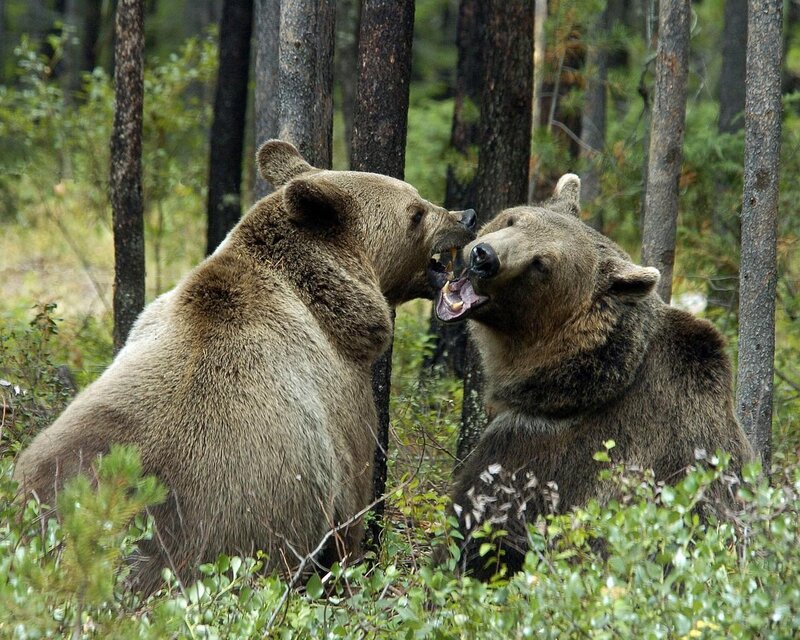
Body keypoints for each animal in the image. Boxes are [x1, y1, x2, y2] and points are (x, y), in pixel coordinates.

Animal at [13, 140, 476, 593]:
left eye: (419, 196)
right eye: (415, 210)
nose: (466, 216)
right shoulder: (343, 406)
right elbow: (352, 507)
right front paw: (353, 567)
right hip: (224, 526)